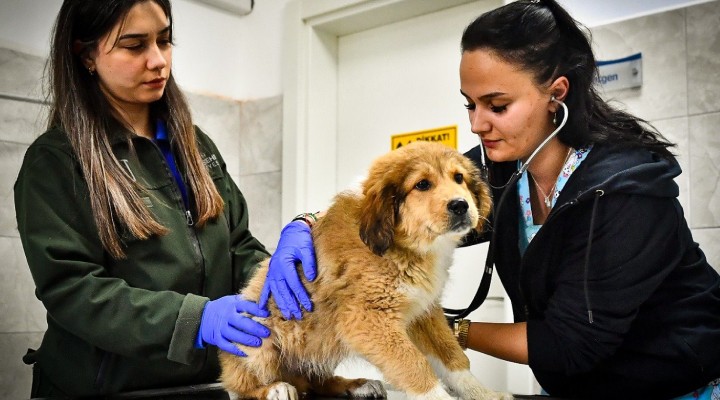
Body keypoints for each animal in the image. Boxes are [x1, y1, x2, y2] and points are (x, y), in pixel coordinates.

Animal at [219, 141, 506, 400]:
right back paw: (274, 388)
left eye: (459, 178)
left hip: (323, 342)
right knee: (241, 386)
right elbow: (414, 364)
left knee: (315, 380)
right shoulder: (367, 318)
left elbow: (453, 358)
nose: (461, 205)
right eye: (422, 184)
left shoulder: (424, 312)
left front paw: (486, 394)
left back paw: (356, 385)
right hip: (256, 338)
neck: (402, 244)